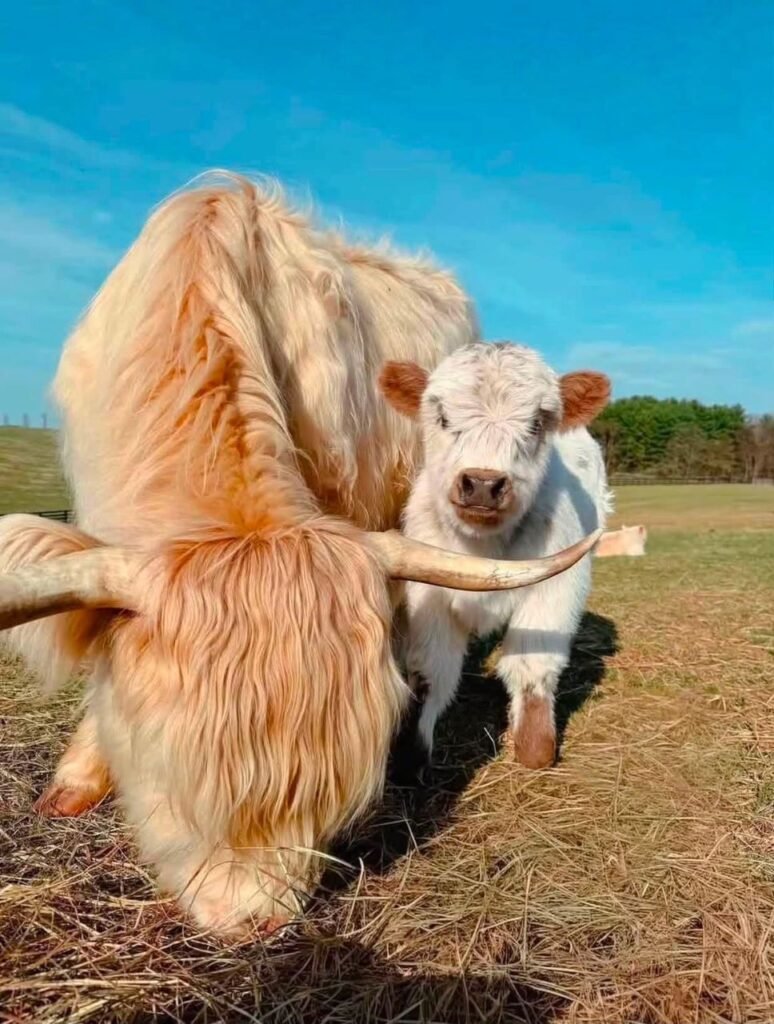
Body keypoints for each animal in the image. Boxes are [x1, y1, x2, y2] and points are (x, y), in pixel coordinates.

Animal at [379, 341, 612, 775]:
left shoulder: (555, 591)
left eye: (537, 423)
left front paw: (535, 748)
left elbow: (532, 667)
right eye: (442, 416)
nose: (483, 484)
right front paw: (409, 754)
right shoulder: (427, 594)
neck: (483, 546)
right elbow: (431, 670)